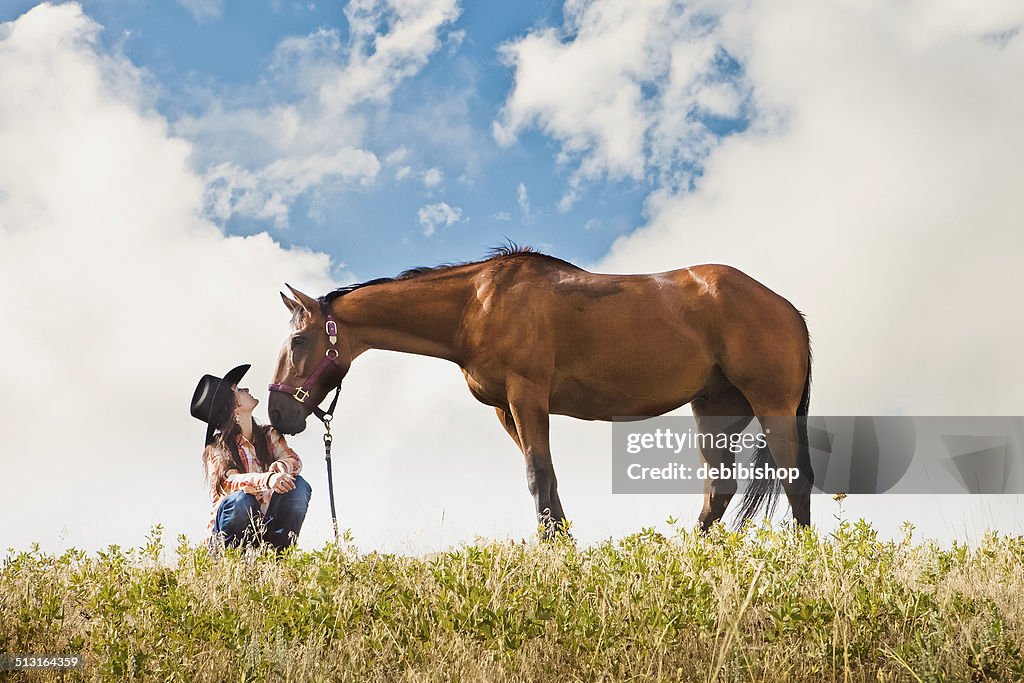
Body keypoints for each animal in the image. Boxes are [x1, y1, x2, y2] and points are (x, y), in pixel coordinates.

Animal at [268, 242, 811, 536]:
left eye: (298, 341)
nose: (278, 415)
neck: (477, 304)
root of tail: (789, 309)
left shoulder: (527, 397)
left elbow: (537, 475)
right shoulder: (505, 409)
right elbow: (547, 479)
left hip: (773, 405)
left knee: (795, 479)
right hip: (715, 410)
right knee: (719, 490)